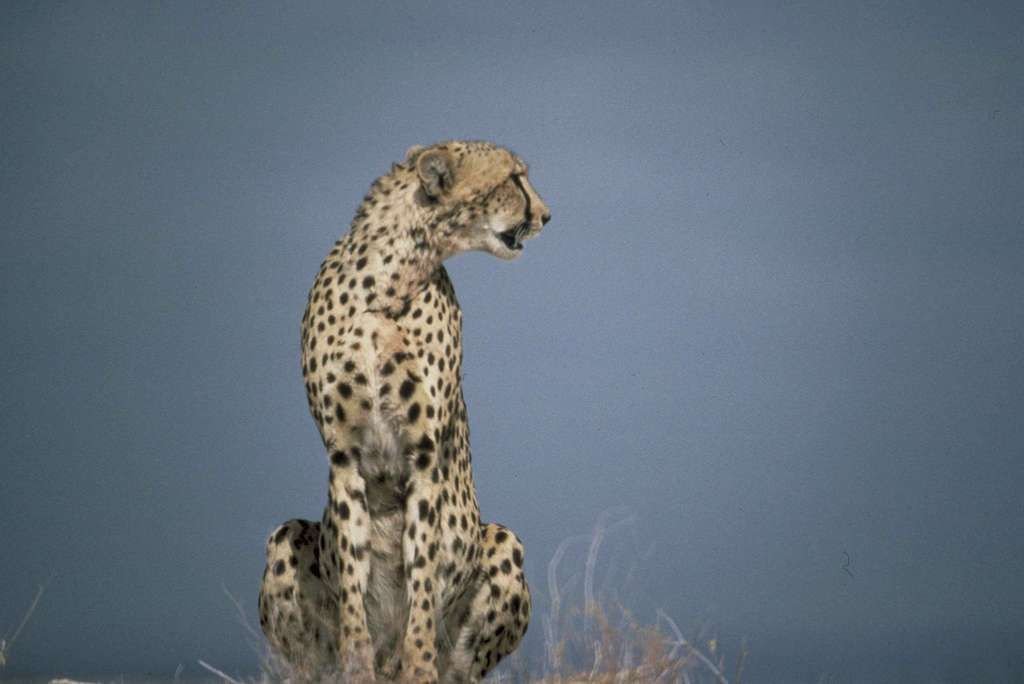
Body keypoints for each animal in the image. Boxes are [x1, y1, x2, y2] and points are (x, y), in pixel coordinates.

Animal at [259, 140, 551, 683]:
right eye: (514, 178)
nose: (546, 214)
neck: (390, 280)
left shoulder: (424, 457)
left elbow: (422, 581)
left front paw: (418, 667)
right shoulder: (344, 457)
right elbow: (353, 580)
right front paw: (357, 665)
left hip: (502, 543)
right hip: (284, 541)